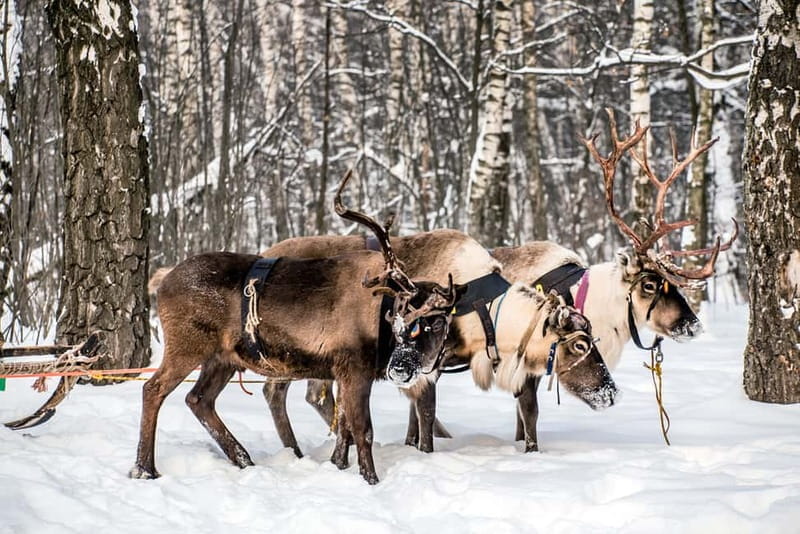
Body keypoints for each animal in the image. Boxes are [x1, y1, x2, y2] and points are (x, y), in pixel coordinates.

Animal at [131, 171, 461, 485]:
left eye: (439, 321)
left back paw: (244, 459)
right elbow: (362, 430)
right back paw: (145, 469)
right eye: (404, 317)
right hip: (187, 346)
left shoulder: (343, 372)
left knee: (198, 400)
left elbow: (344, 429)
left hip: (223, 358)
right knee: (153, 389)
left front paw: (338, 465)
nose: (406, 368)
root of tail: (162, 283)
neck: (379, 311)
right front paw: (371, 480)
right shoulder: (354, 368)